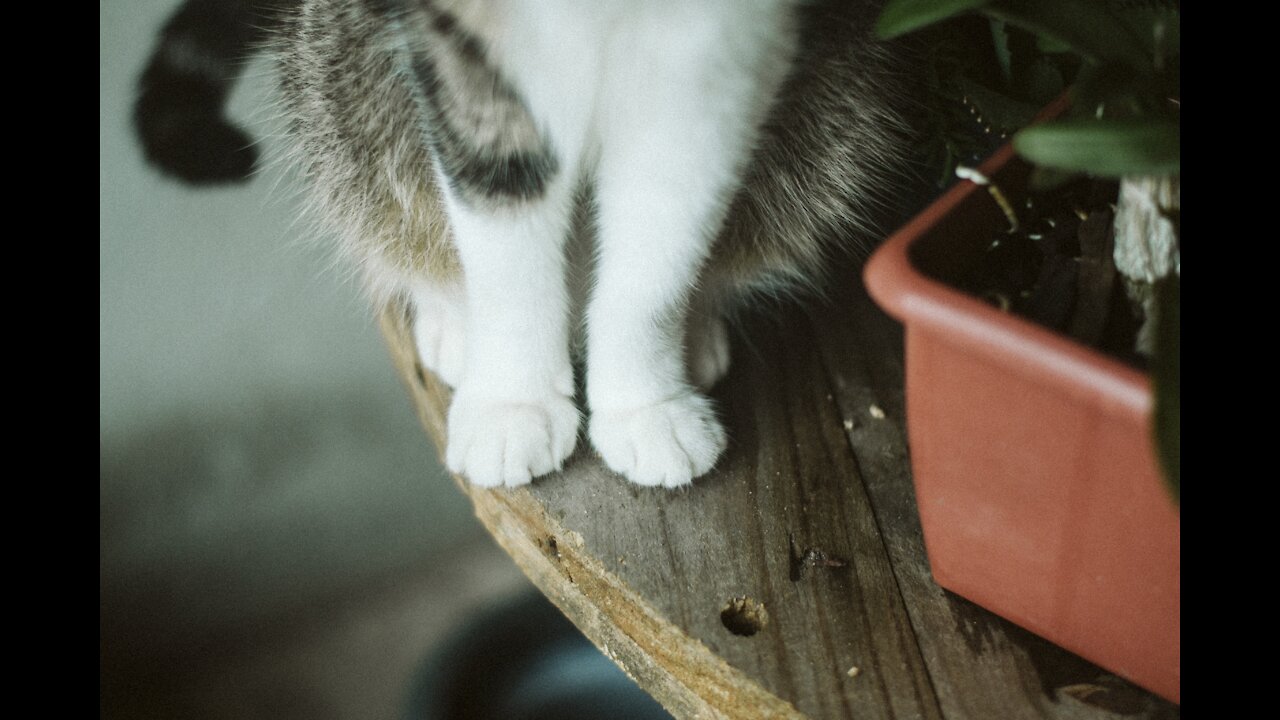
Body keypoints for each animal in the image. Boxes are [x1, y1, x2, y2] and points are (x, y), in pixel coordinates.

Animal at [272, 0, 921, 486]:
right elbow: (506, 242)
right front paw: (513, 402)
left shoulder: (726, 61)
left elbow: (659, 252)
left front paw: (645, 404)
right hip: (332, 80)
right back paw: (454, 319)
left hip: (839, 110)